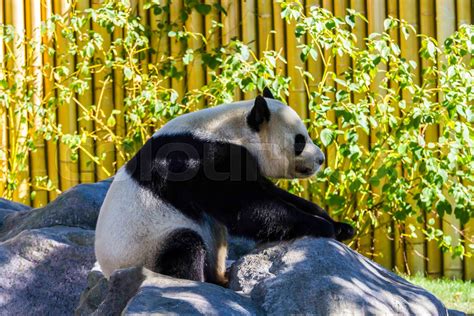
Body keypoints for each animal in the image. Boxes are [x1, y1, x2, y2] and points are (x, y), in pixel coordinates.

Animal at [96, 87, 354, 286]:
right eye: (300, 141)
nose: (320, 159)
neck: (230, 129)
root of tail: (109, 272)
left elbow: (270, 194)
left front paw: (339, 225)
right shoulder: (201, 159)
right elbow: (245, 207)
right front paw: (321, 226)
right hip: (145, 245)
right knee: (183, 248)